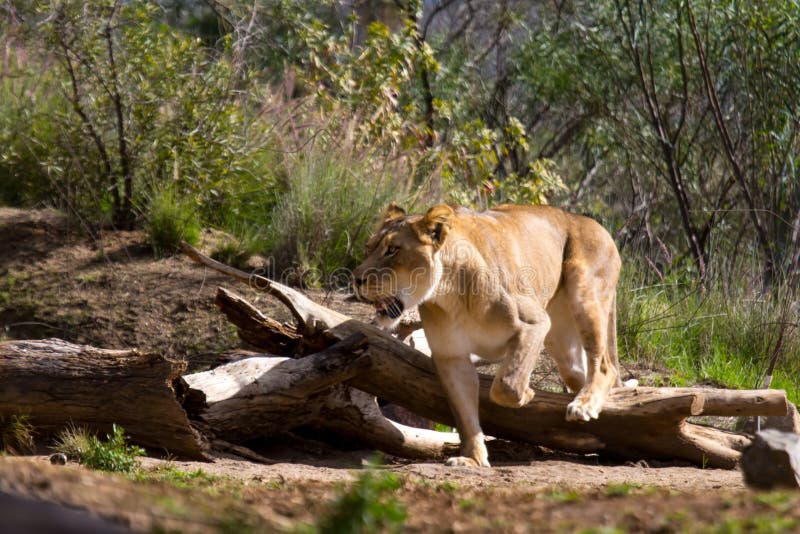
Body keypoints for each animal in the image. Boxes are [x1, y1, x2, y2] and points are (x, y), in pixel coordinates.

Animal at [352, 202, 622, 467]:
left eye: (392, 250)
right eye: (368, 247)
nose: (356, 279)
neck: (448, 294)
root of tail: (591, 222)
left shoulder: (534, 323)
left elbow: (505, 383)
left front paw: (527, 394)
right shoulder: (451, 356)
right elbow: (464, 413)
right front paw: (472, 458)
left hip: (584, 292)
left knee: (605, 365)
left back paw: (584, 405)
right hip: (561, 341)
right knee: (580, 372)